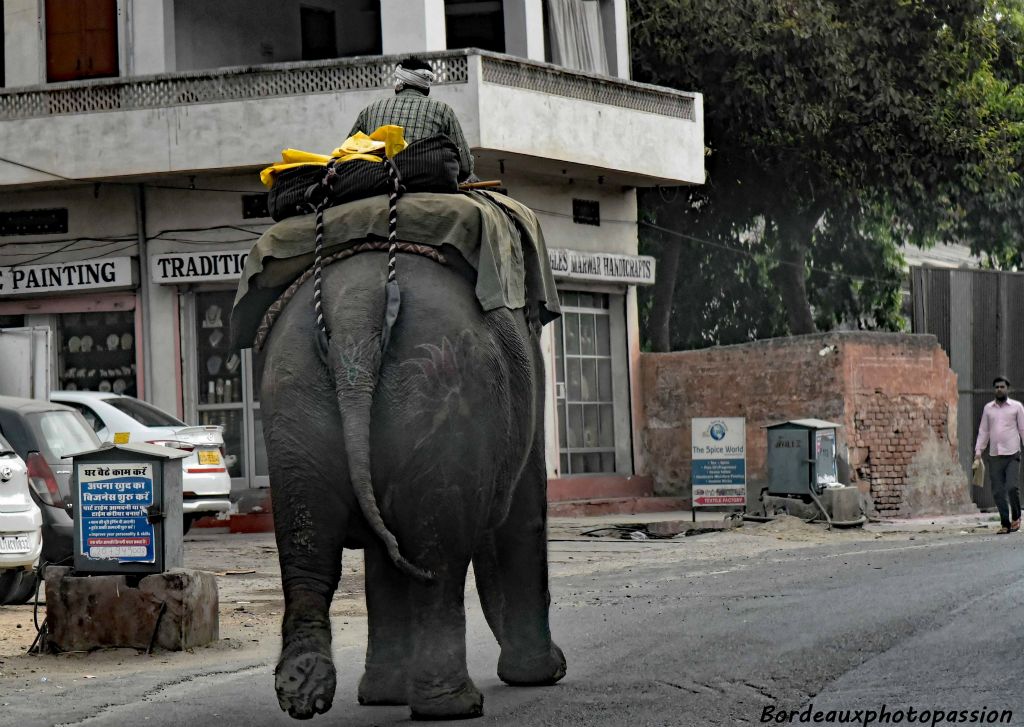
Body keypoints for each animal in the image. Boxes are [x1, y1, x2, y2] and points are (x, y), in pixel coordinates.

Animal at [256, 247, 569, 720]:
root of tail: (354, 315)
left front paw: (383, 697)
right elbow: (522, 520)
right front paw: (544, 675)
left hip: (294, 400)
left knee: (309, 547)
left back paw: (305, 688)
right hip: (441, 396)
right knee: (438, 553)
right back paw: (454, 706)